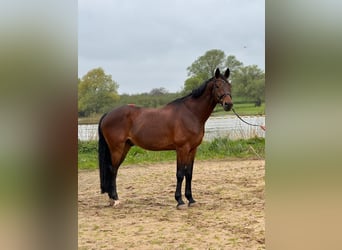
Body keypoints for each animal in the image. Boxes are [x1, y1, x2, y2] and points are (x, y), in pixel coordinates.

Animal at [97, 67, 234, 208]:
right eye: (217, 86)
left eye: (229, 85)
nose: (228, 104)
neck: (191, 113)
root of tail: (108, 114)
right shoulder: (182, 149)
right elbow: (180, 174)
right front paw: (180, 201)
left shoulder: (192, 149)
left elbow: (189, 174)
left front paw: (191, 199)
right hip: (116, 149)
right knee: (112, 170)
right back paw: (114, 199)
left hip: (125, 147)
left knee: (115, 170)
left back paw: (113, 198)